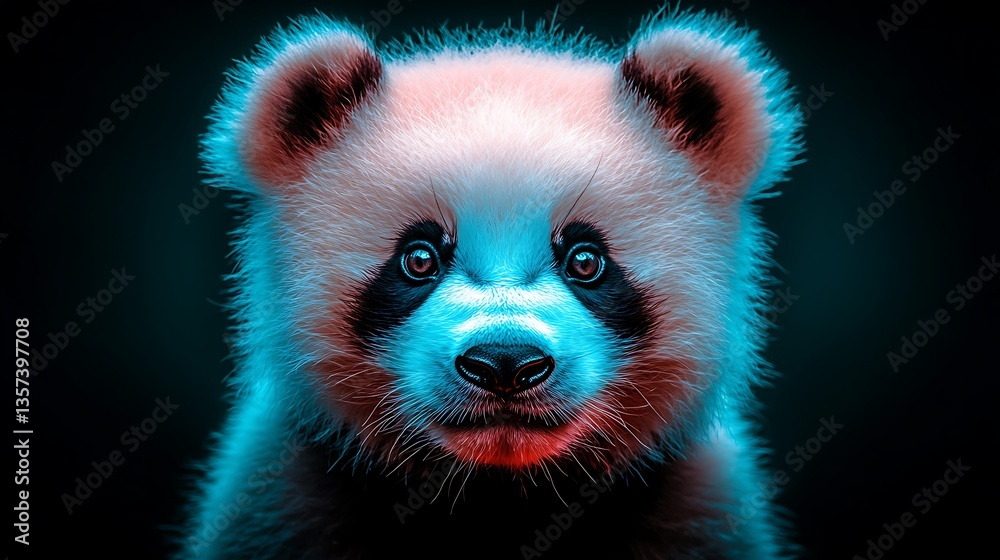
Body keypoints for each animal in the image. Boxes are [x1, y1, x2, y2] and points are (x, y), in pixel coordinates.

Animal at [179, 6, 804, 560]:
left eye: (585, 261)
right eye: (418, 259)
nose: (505, 363)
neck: (498, 498)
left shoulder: (695, 507)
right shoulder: (287, 500)